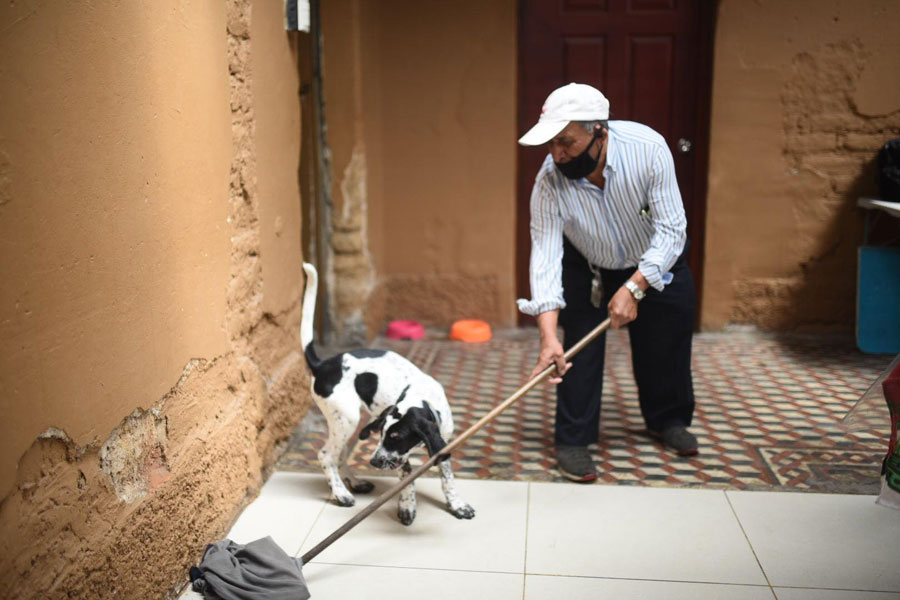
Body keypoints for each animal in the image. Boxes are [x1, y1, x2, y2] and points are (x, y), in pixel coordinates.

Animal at [300, 264, 474, 524]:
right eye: (382, 434)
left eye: (395, 436)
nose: (373, 461)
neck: (423, 397)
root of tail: (323, 365)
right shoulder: (400, 457)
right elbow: (407, 477)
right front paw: (407, 506)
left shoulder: (441, 443)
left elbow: (447, 478)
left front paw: (457, 504)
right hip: (346, 418)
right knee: (326, 455)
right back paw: (341, 493)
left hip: (345, 423)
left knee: (339, 455)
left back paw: (355, 483)